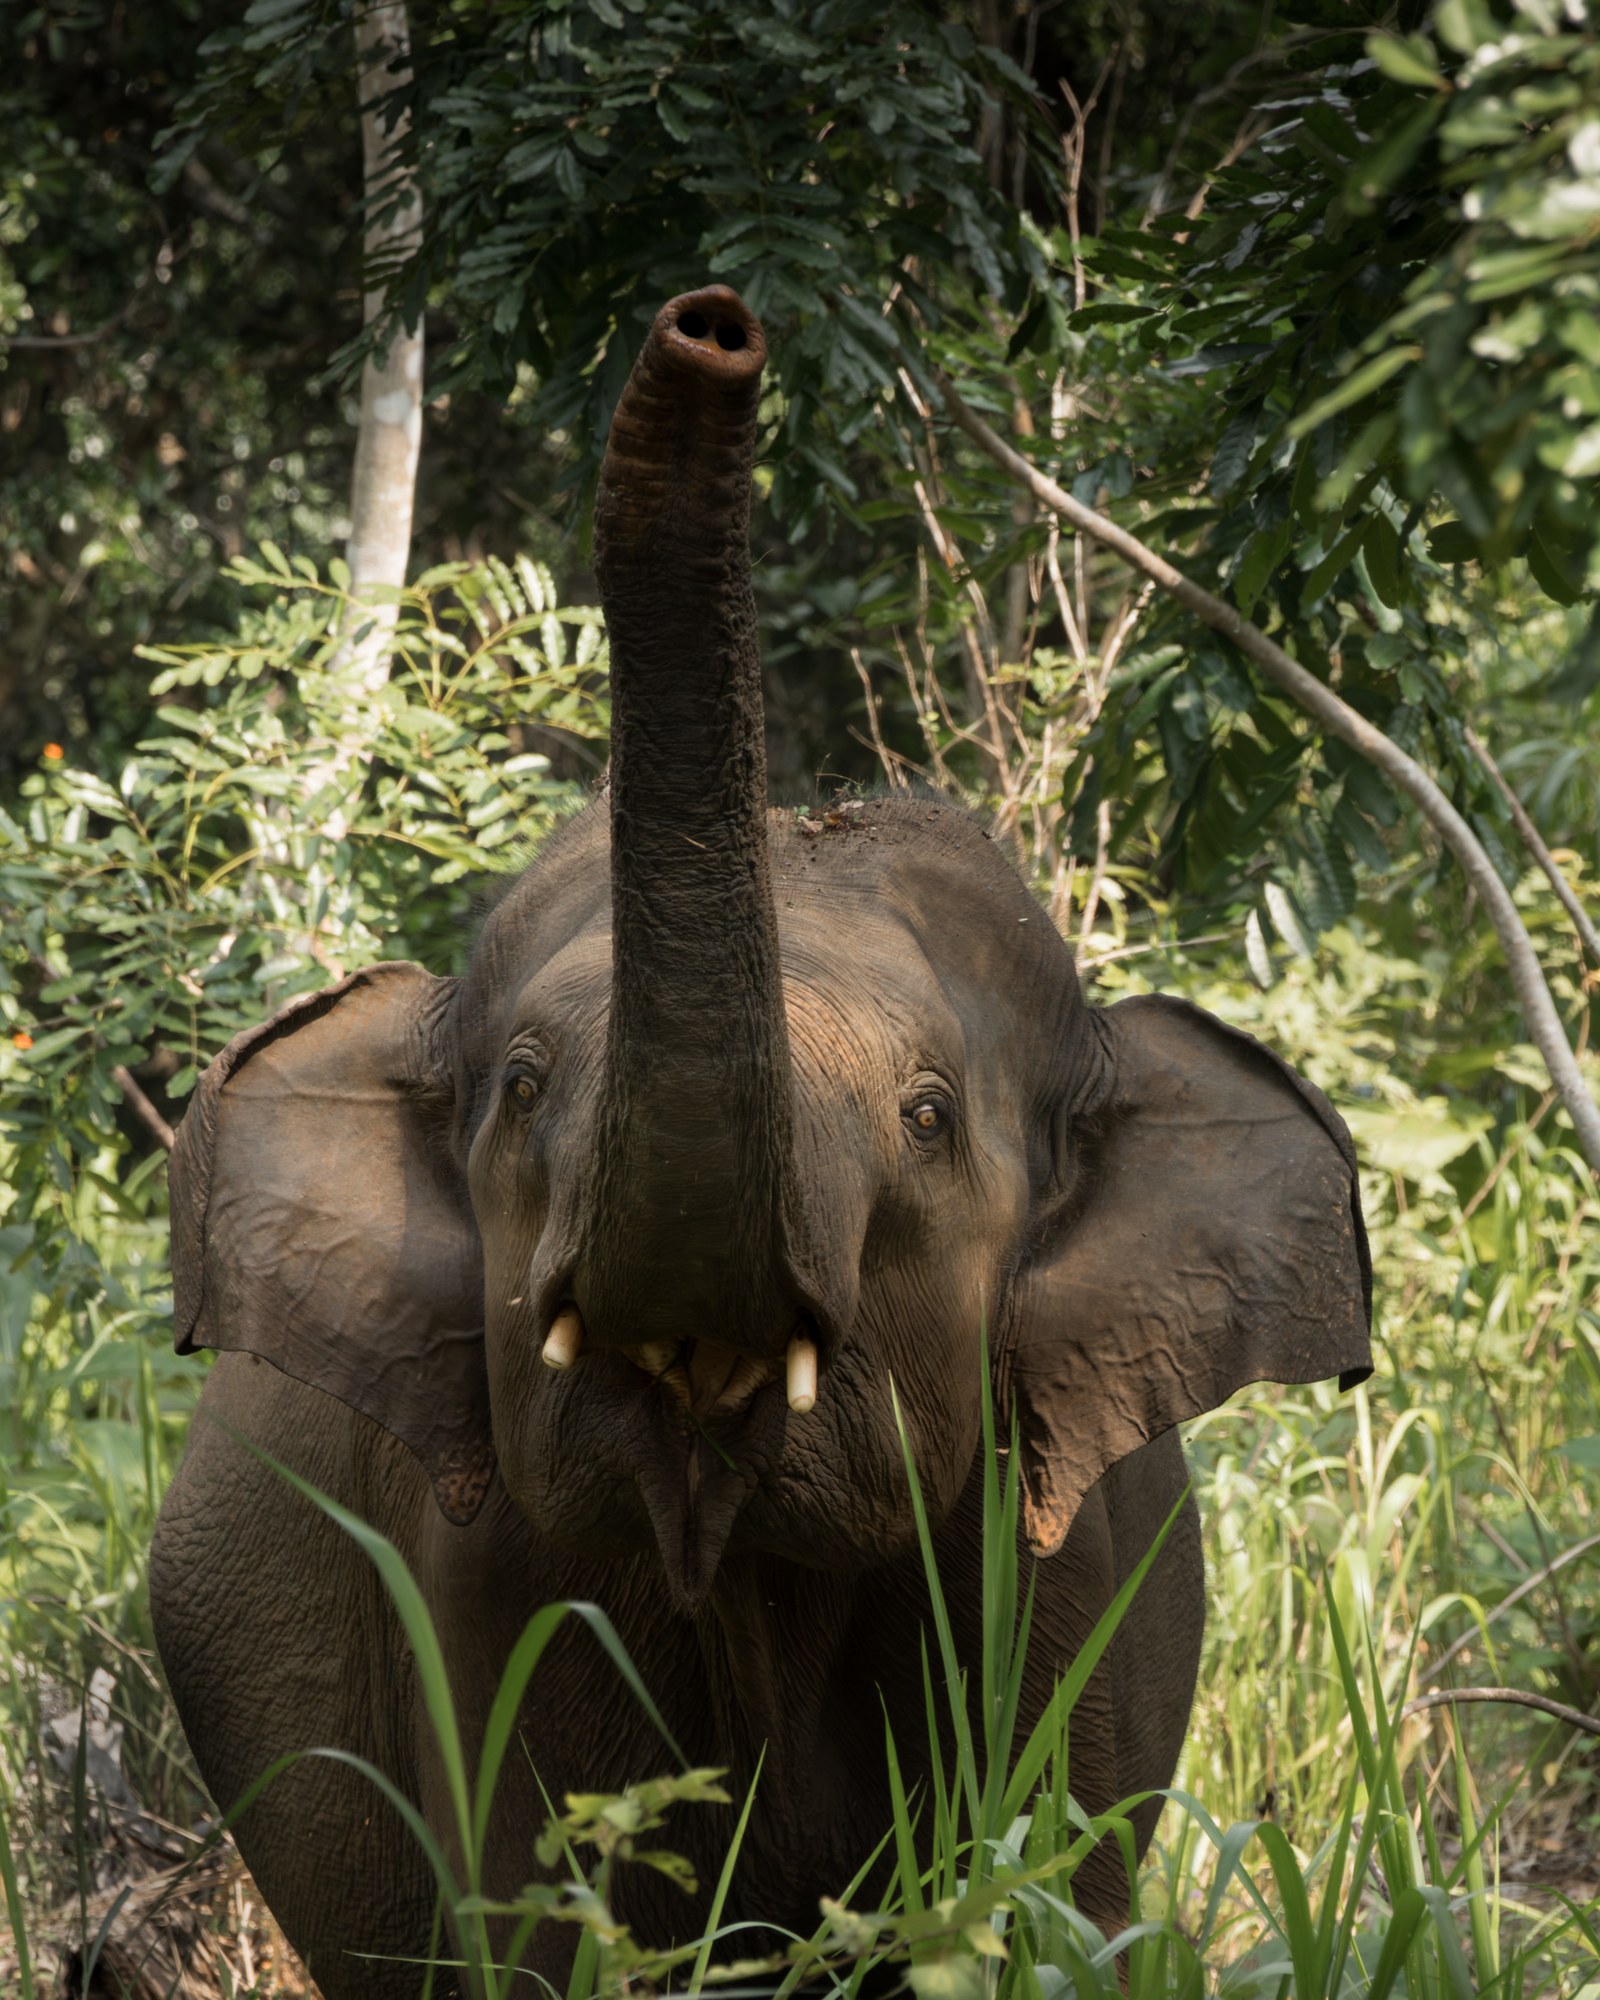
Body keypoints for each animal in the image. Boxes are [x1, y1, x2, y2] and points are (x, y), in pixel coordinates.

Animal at [149, 286, 1372, 1999]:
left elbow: (1040, 1895)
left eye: (928, 1117)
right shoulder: (489, 1582)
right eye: (520, 1087)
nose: (714, 324)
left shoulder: (1069, 1566)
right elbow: (568, 1921)